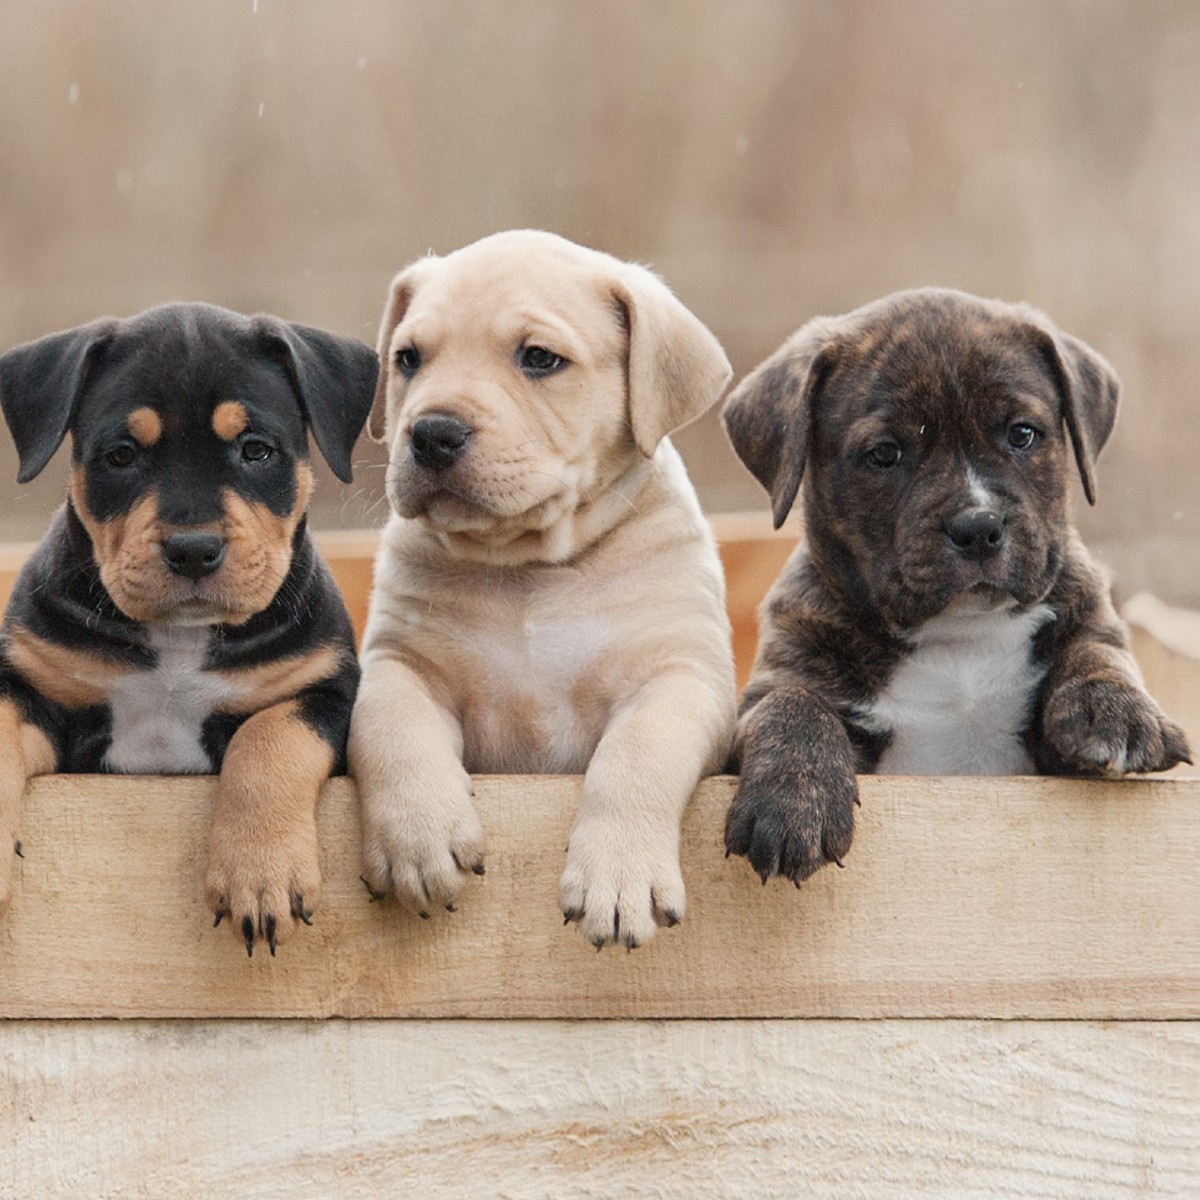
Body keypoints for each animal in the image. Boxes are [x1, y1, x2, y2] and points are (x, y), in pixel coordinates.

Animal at [0, 304, 374, 950]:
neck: (179, 639)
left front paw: (260, 875)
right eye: (121, 456)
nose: (193, 550)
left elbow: (268, 739)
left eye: (257, 451)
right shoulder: (31, 692)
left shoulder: (323, 690)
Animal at [350, 229, 734, 950]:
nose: (431, 432)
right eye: (408, 359)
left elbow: (636, 755)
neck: (530, 567)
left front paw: (619, 876)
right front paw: (420, 837)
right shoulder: (399, 662)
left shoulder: (680, 677)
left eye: (539, 359)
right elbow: (391, 727)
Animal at [720, 288, 1190, 892]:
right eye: (885, 454)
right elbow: (790, 704)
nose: (978, 525)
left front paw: (1118, 712)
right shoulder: (773, 684)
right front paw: (790, 801)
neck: (959, 634)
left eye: (1022, 434)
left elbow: (1098, 651)